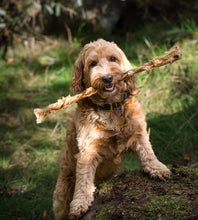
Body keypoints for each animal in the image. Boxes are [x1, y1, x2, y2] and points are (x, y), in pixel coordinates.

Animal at [52, 38, 170, 219]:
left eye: (113, 59)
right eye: (92, 63)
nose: (107, 78)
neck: (111, 107)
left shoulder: (138, 134)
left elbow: (147, 153)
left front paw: (157, 168)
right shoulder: (88, 150)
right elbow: (84, 179)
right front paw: (80, 203)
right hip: (62, 193)